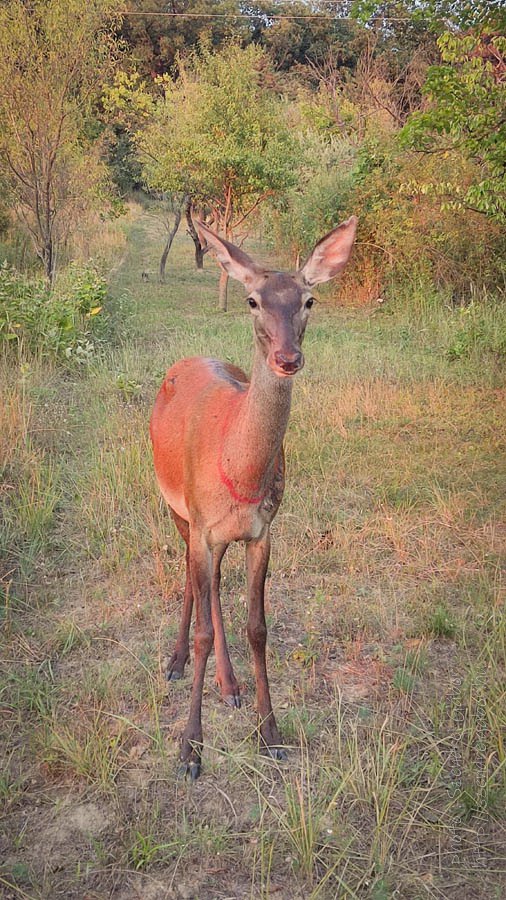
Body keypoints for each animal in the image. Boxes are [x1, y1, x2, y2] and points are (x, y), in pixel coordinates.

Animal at [150, 216, 358, 779]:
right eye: (252, 300)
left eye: (309, 300)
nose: (287, 358)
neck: (239, 474)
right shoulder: (202, 525)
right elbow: (204, 627)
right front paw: (190, 750)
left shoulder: (263, 531)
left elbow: (258, 627)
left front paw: (271, 733)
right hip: (174, 506)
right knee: (191, 578)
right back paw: (175, 662)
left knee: (214, 587)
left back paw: (230, 684)